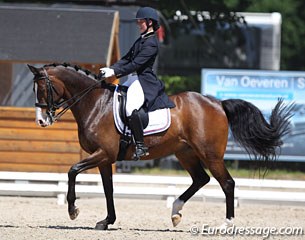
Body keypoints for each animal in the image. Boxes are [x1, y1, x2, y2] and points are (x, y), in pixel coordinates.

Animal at [28, 62, 292, 230]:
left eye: (43, 88)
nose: (41, 121)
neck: (96, 104)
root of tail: (217, 103)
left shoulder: (103, 154)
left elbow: (72, 170)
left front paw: (73, 211)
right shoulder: (105, 158)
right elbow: (108, 190)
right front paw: (107, 221)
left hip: (210, 154)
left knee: (227, 183)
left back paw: (225, 224)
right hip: (185, 153)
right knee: (201, 179)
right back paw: (175, 212)